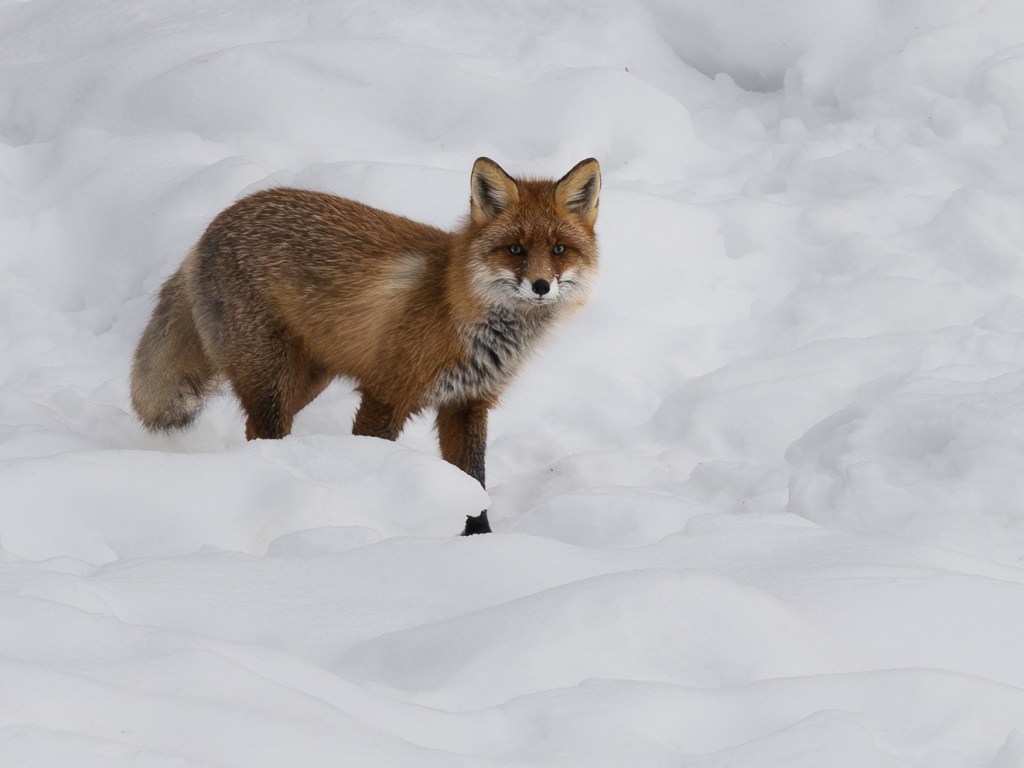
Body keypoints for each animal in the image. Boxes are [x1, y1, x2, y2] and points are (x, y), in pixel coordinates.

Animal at [130, 157, 601, 534]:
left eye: (560, 249)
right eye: (515, 249)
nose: (541, 286)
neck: (461, 311)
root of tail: (210, 228)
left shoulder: (467, 403)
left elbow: (474, 485)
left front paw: (480, 543)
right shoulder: (387, 394)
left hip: (305, 381)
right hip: (271, 382)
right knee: (263, 435)